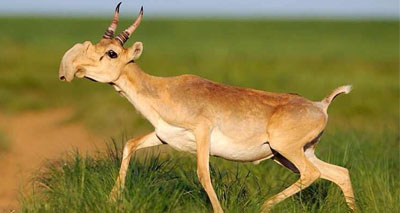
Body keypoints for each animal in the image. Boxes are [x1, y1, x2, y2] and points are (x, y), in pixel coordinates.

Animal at [58, 2, 356, 211]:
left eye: (111, 53)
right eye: (97, 45)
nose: (74, 69)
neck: (164, 90)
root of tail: (320, 105)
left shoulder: (202, 133)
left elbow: (203, 174)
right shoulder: (163, 136)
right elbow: (129, 145)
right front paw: (112, 200)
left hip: (287, 151)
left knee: (314, 174)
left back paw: (264, 206)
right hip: (292, 155)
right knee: (339, 173)